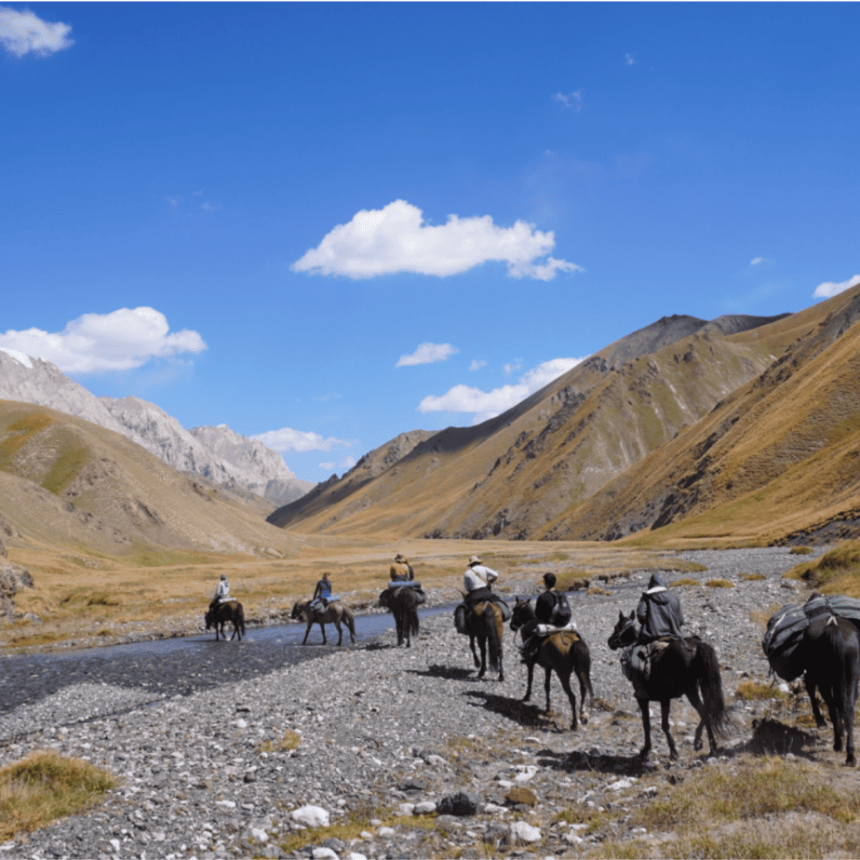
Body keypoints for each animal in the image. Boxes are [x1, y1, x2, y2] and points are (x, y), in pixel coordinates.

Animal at [510, 597, 593, 729]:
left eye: (515, 609)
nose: (512, 626)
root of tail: (573, 644)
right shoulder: (548, 668)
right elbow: (547, 686)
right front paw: (547, 708)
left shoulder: (530, 663)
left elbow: (530, 678)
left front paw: (527, 696)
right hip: (580, 671)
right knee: (583, 689)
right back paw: (582, 715)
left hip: (563, 675)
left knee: (572, 696)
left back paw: (574, 723)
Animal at [608, 610, 730, 760]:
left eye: (616, 626)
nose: (610, 642)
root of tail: (697, 645)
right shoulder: (665, 699)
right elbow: (662, 724)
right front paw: (671, 750)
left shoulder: (645, 698)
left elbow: (650, 724)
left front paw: (653, 750)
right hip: (702, 685)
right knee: (708, 709)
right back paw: (704, 743)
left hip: (691, 689)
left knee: (704, 711)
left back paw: (707, 746)